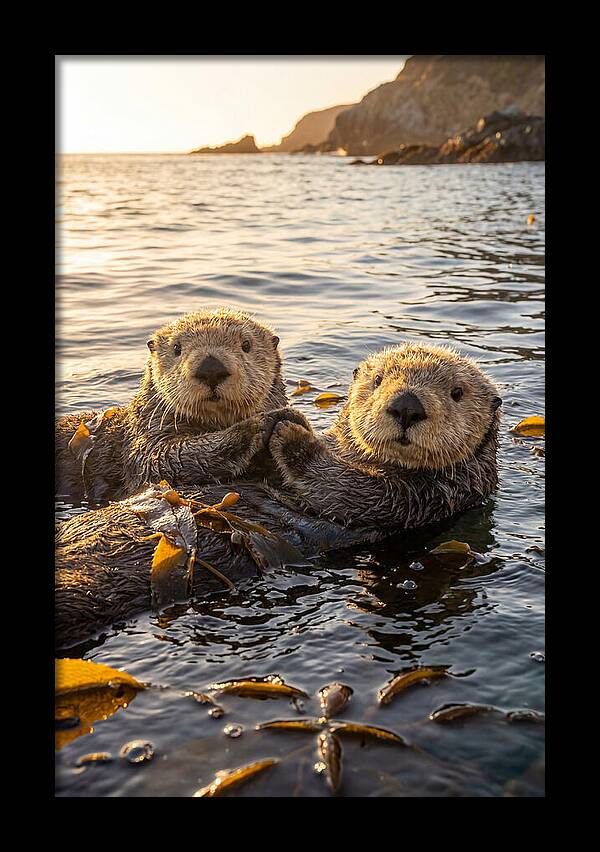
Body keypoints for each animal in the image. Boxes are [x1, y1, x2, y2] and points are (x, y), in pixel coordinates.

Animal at [55, 343, 501, 649]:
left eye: (457, 393)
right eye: (377, 382)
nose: (406, 406)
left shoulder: (421, 498)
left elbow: (345, 487)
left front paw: (290, 431)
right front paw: (275, 421)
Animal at [56, 308, 306, 503]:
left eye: (246, 345)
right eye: (177, 348)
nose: (211, 368)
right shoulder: (146, 439)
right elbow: (163, 459)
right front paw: (262, 423)